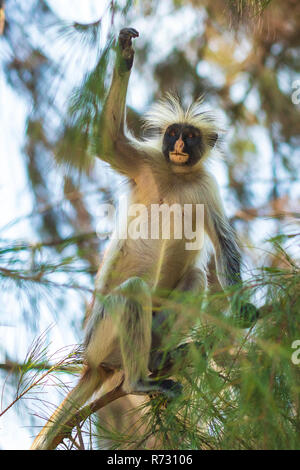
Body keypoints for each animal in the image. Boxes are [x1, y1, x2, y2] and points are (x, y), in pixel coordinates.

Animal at [31, 26, 258, 452]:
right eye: (173, 135)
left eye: (190, 136)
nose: (180, 147)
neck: (176, 175)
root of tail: (93, 363)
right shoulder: (149, 162)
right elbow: (108, 143)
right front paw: (125, 54)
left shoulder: (205, 185)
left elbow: (224, 244)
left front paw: (241, 307)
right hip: (103, 334)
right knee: (134, 291)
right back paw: (139, 381)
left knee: (195, 278)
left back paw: (156, 361)